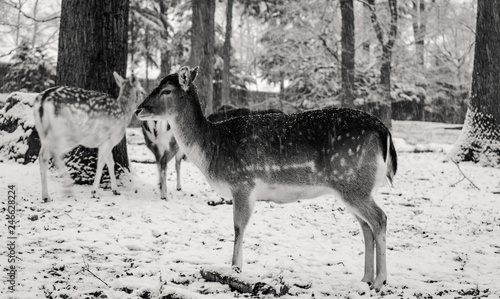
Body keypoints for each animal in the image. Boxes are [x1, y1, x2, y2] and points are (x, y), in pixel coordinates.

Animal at [33, 72, 145, 203]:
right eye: (141, 91)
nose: (140, 108)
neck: (124, 114)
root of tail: (42, 101)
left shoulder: (108, 142)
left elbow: (110, 162)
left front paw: (115, 190)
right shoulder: (109, 140)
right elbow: (101, 163)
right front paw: (94, 191)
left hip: (43, 133)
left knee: (42, 155)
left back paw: (46, 196)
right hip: (68, 133)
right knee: (54, 154)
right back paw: (68, 189)